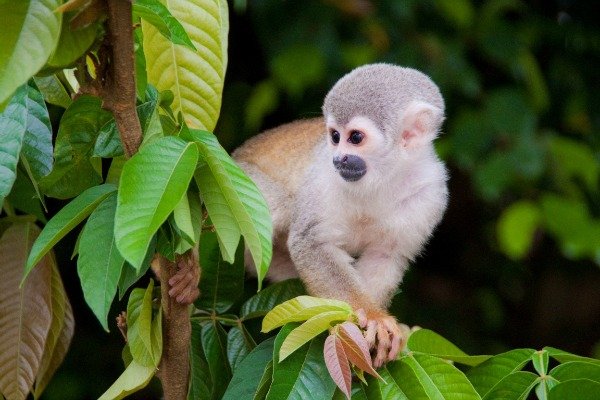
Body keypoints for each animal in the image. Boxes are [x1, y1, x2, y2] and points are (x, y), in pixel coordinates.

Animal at [232, 64, 448, 368]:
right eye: (334, 136)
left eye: (355, 138)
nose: (339, 158)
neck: (383, 178)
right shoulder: (322, 174)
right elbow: (310, 243)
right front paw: (374, 318)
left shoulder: (431, 194)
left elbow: (386, 255)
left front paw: (377, 330)